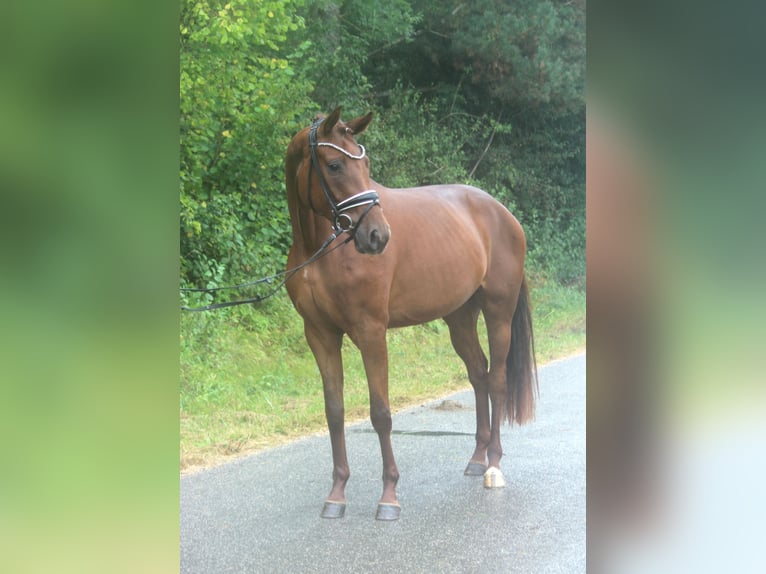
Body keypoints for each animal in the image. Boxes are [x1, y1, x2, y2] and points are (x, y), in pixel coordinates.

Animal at [284, 107, 540, 520]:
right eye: (335, 165)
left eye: (365, 163)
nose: (378, 236)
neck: (323, 250)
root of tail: (504, 214)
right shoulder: (319, 335)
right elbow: (334, 411)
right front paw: (336, 494)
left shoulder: (371, 332)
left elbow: (380, 413)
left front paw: (389, 496)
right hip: (459, 318)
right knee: (479, 374)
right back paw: (477, 458)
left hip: (498, 314)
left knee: (498, 380)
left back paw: (494, 466)